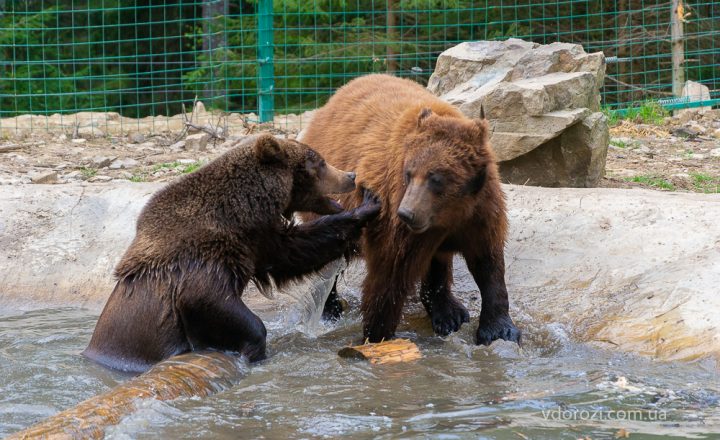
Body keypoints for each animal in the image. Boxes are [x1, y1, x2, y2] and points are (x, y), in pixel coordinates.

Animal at [83, 134, 382, 372]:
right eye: (318, 161)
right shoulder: (203, 256)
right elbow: (208, 298)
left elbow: (296, 251)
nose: (351, 176)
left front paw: (366, 207)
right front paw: (253, 345)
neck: (240, 216)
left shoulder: (259, 242)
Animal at [300, 74, 520, 346]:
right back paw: (329, 309)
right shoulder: (398, 222)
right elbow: (389, 277)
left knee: (437, 261)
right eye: (409, 173)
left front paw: (499, 329)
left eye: (436, 178)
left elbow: (488, 263)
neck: (450, 213)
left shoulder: (480, 212)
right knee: (328, 254)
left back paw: (448, 312)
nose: (406, 213)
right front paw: (378, 333)